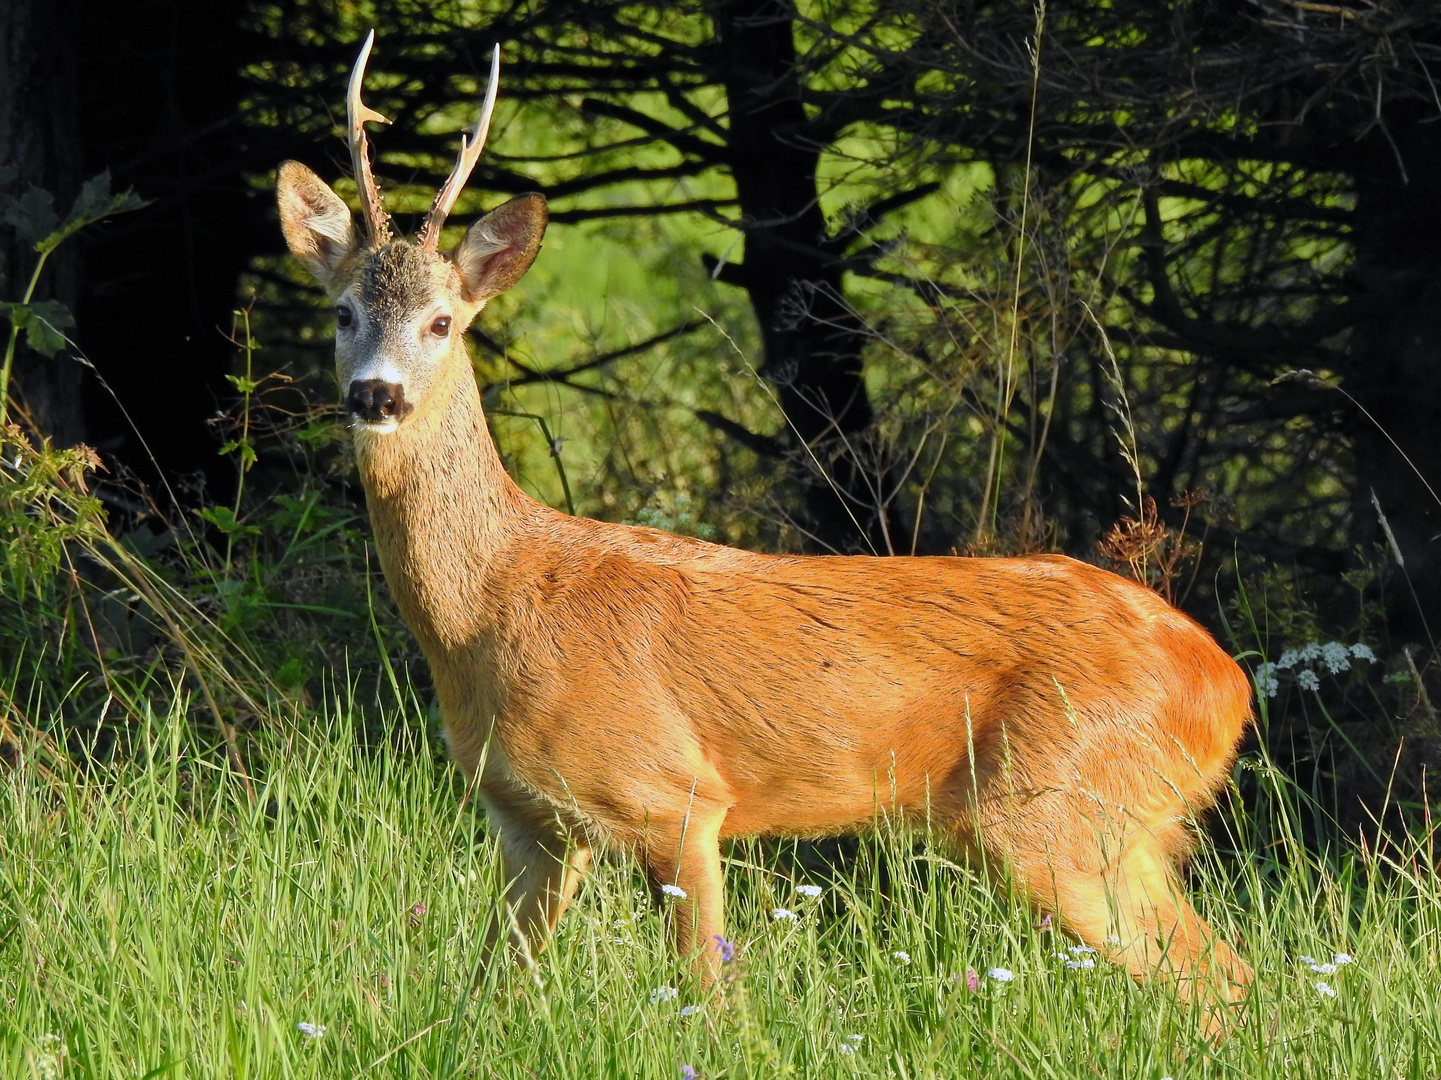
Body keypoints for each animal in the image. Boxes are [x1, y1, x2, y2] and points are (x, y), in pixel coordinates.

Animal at [278, 31, 1250, 1026]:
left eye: (443, 321)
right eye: (344, 312)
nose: (377, 395)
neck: (492, 607)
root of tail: (1224, 682)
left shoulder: (676, 796)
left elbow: (707, 992)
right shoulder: (528, 821)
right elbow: (492, 989)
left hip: (1060, 808)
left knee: (1214, 975)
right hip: (1108, 821)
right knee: (1223, 969)